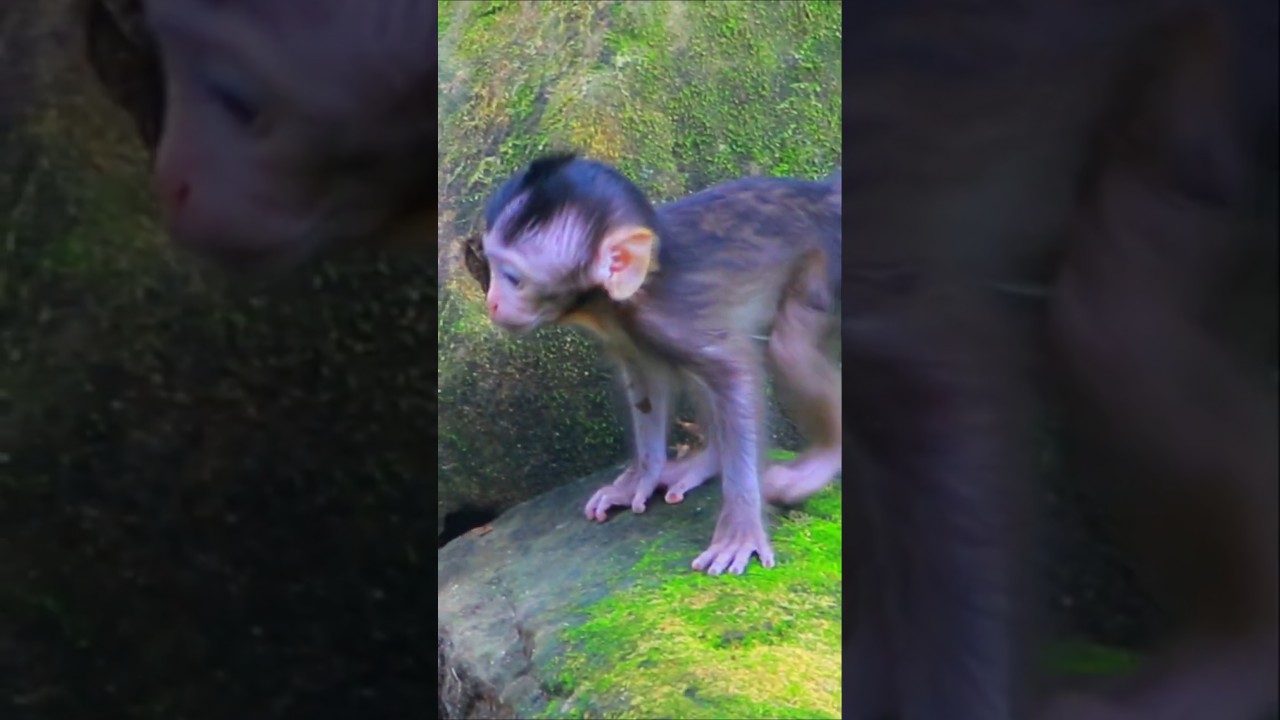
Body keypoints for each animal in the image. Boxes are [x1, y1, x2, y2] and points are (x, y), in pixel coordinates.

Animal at [468, 154, 843, 576]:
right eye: (490, 268)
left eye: (513, 278)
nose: (492, 302)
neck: (643, 281)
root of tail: (824, 194)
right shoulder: (624, 325)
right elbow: (646, 378)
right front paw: (640, 478)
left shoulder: (671, 317)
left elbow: (735, 373)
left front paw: (740, 528)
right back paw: (710, 460)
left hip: (827, 263)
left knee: (788, 345)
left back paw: (824, 457)